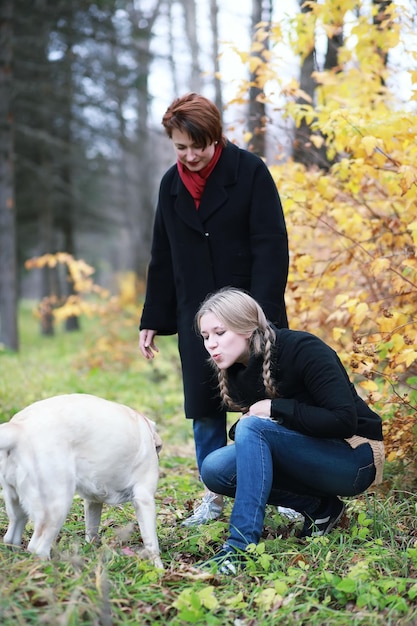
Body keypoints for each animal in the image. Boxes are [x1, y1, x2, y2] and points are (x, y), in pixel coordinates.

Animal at [0, 392, 162, 568]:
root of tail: (18, 429)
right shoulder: (144, 498)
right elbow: (152, 544)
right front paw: (159, 569)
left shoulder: (93, 501)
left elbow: (91, 530)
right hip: (57, 507)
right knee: (37, 547)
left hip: (16, 505)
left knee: (11, 537)